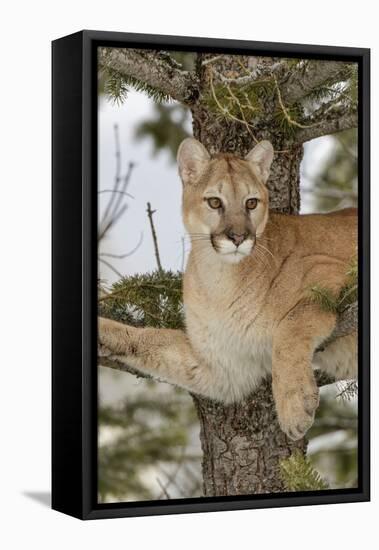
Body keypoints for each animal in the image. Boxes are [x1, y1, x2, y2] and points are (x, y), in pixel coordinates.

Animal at [98, 140, 360, 442]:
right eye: (215, 202)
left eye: (251, 202)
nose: (237, 237)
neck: (221, 279)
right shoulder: (226, 365)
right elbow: (155, 338)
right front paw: (103, 331)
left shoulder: (328, 270)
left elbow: (290, 325)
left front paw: (294, 405)